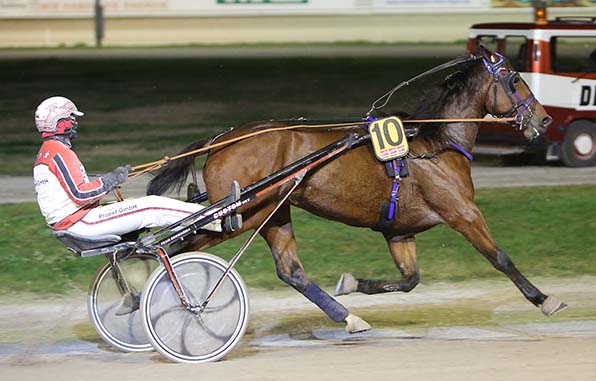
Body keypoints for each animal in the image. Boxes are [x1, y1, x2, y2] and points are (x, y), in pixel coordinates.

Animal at [148, 47, 564, 332]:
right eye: (514, 78)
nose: (544, 119)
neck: (435, 142)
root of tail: (220, 140)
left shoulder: (399, 231)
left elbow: (410, 280)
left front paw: (350, 283)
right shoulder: (461, 211)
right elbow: (500, 258)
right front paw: (544, 300)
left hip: (273, 213)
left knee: (290, 271)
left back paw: (349, 317)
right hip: (243, 215)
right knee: (176, 248)